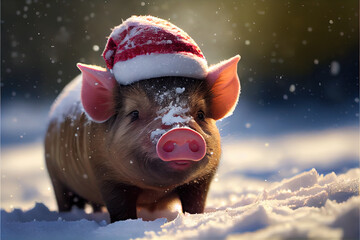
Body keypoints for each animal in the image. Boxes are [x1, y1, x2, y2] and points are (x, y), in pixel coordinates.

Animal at [45, 15, 242, 222]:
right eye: (134, 113)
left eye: (201, 114)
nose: (180, 132)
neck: (155, 191)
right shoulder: (106, 174)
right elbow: (120, 209)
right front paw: (127, 224)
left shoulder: (202, 179)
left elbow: (195, 204)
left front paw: (192, 217)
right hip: (55, 176)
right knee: (67, 200)